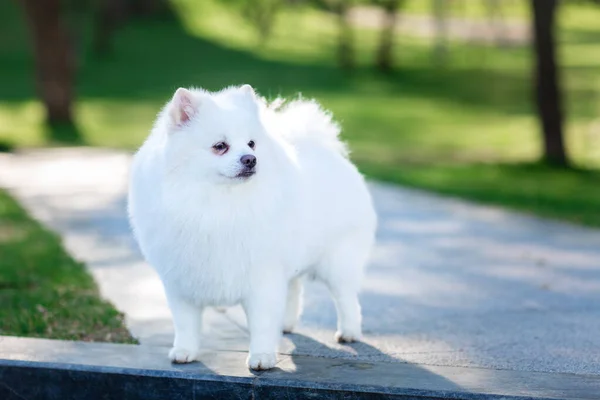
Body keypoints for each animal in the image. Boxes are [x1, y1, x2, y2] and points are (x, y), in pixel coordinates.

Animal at [127, 86, 376, 370]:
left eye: (251, 143)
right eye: (220, 146)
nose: (250, 159)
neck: (218, 204)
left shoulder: (262, 277)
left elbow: (262, 323)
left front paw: (262, 357)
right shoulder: (181, 282)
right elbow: (186, 323)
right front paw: (184, 351)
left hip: (337, 263)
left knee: (346, 299)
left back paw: (349, 332)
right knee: (295, 289)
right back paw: (287, 325)